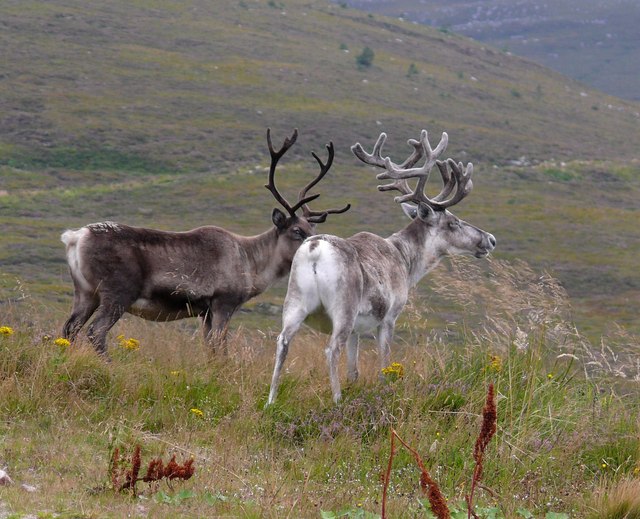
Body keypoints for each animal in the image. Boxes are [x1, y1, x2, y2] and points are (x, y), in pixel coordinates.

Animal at [60, 128, 350, 355]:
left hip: (85, 292)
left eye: (312, 228)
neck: (251, 262)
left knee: (70, 329)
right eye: (297, 231)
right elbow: (219, 348)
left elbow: (209, 348)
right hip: (117, 292)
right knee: (95, 331)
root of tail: (75, 237)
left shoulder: (206, 312)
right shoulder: (223, 303)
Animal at [266, 129, 496, 405]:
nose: (490, 239)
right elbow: (384, 365)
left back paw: (270, 402)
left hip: (294, 303)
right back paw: (337, 400)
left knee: (282, 342)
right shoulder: (389, 317)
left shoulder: (357, 329)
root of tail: (315, 249)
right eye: (453, 222)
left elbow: (353, 371)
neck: (406, 260)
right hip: (343, 309)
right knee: (331, 350)